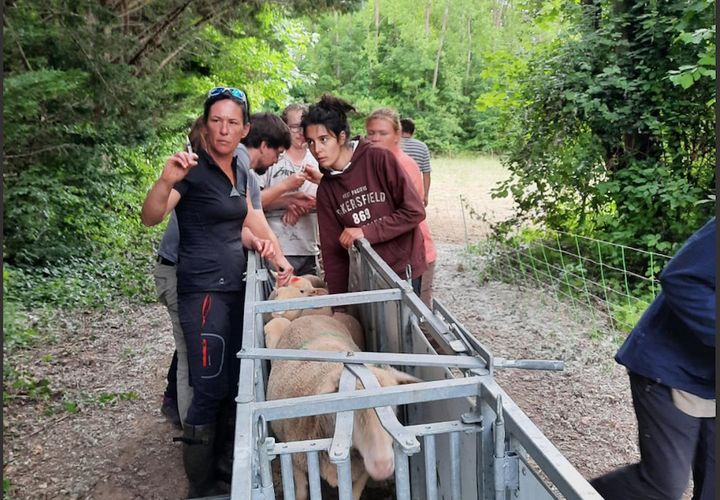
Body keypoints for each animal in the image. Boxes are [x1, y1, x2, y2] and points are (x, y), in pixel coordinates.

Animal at [268, 316, 420, 500]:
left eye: (394, 406)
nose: (382, 466)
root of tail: (310, 316)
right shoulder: (294, 457)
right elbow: (301, 491)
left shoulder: (362, 471)